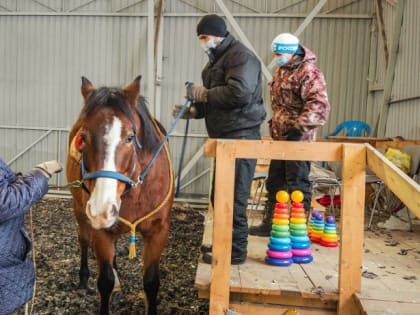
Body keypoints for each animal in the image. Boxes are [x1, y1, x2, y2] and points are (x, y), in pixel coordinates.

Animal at [65, 77, 172, 315]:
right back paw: (84, 279)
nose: (101, 210)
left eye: (130, 137)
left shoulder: (158, 232)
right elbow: (105, 282)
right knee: (84, 240)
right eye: (83, 138)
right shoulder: (101, 232)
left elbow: (151, 282)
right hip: (80, 211)